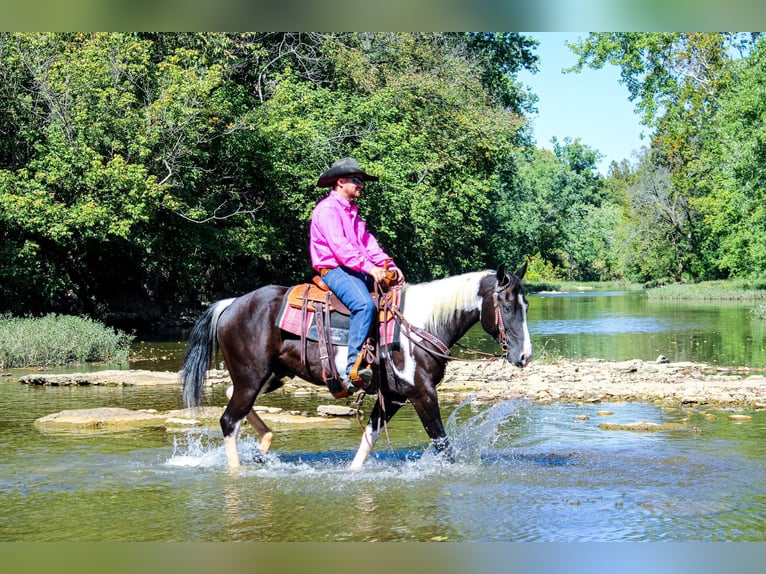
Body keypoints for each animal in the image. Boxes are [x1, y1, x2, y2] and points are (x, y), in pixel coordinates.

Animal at [183, 264, 536, 468]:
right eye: (506, 306)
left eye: (526, 304)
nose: (525, 356)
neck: (421, 324)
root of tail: (231, 304)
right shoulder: (422, 393)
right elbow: (442, 445)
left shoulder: (393, 396)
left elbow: (368, 439)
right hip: (251, 377)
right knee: (229, 420)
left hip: (271, 376)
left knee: (233, 402)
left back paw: (264, 444)